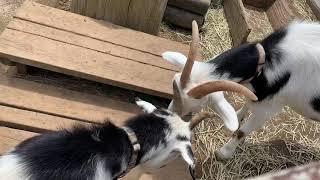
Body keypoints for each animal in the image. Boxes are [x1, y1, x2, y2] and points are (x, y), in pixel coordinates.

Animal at [164, 20, 320, 160]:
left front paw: (223, 153)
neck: (266, 57)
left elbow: (242, 132)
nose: (169, 115)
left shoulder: (270, 106)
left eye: (197, 105)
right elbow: (248, 101)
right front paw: (238, 115)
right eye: (173, 86)